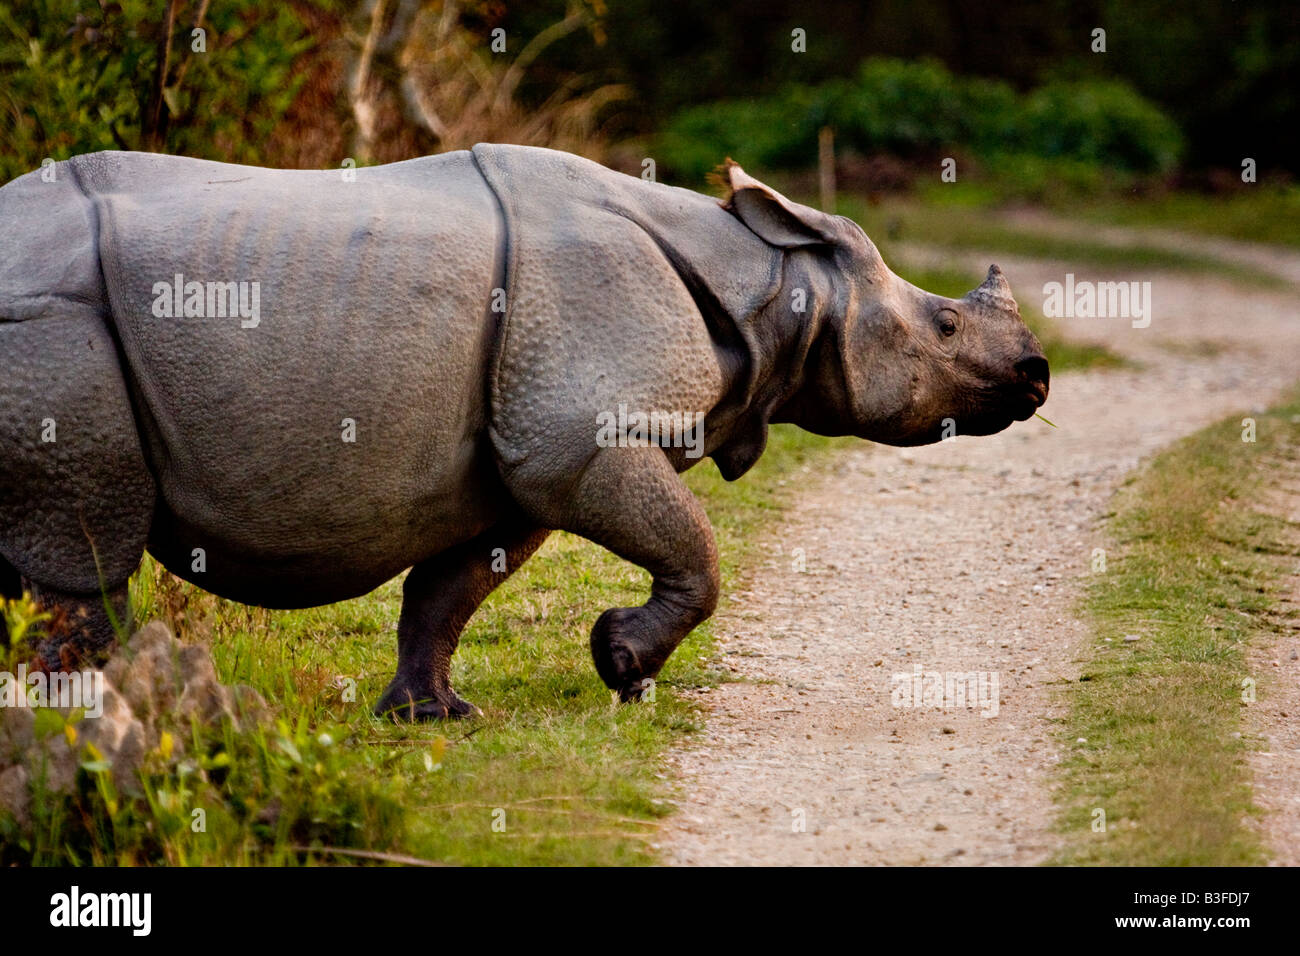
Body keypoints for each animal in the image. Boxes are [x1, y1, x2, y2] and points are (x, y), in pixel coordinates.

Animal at [0, 143, 1040, 717]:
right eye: (946, 331)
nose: (1035, 378)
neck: (778, 286)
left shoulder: (517, 462)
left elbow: (448, 592)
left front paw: (435, 718)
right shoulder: (575, 442)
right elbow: (699, 554)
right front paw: (621, 663)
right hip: (51, 329)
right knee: (79, 558)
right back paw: (94, 719)